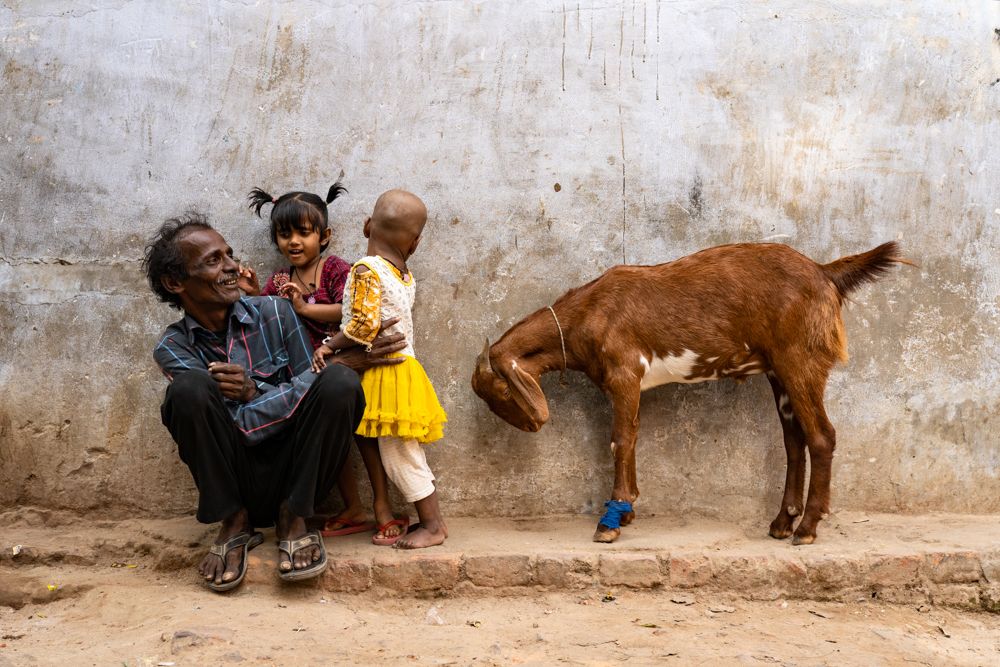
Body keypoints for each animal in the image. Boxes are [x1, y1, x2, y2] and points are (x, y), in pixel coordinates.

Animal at [472, 242, 909, 545]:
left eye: (501, 390)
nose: (531, 425)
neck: (588, 314)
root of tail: (824, 272)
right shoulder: (629, 385)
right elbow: (633, 437)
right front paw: (627, 510)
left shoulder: (624, 373)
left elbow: (620, 440)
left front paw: (610, 522)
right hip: (778, 372)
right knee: (794, 440)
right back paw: (783, 522)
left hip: (799, 358)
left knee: (822, 436)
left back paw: (807, 528)